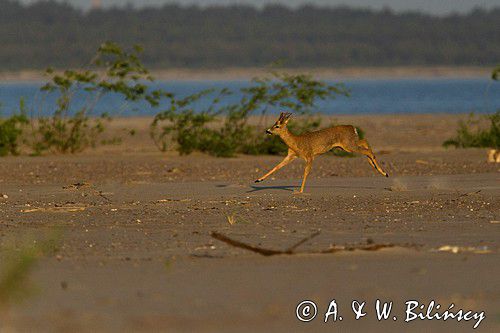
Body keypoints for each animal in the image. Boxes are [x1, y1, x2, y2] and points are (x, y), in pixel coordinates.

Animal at [256, 112, 388, 192]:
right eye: (274, 123)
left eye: (277, 126)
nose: (267, 131)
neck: (295, 141)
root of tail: (353, 128)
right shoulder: (291, 156)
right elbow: (276, 167)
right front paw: (258, 180)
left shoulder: (310, 156)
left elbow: (306, 172)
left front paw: (300, 191)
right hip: (348, 145)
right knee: (365, 143)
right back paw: (376, 166)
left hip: (349, 146)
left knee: (367, 150)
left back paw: (384, 173)